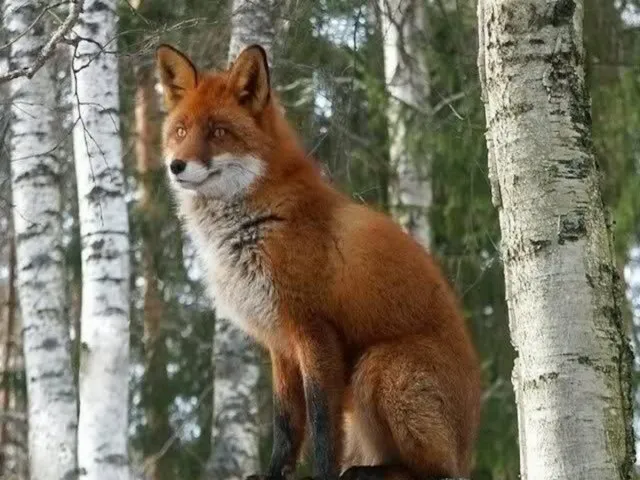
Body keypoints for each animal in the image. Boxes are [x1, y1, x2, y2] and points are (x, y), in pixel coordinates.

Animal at [158, 42, 482, 480]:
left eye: (217, 132)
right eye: (180, 131)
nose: (176, 165)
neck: (255, 226)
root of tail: (467, 450)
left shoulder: (314, 329)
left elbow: (322, 423)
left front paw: (323, 472)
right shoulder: (279, 341)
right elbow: (286, 422)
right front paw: (274, 472)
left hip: (380, 366)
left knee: (436, 471)